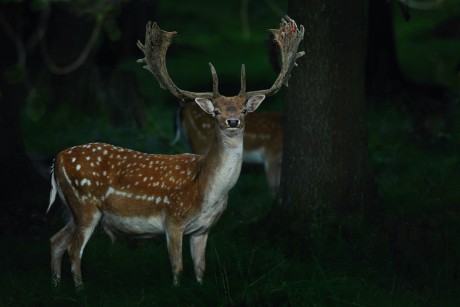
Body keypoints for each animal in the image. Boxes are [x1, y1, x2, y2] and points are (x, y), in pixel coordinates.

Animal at [47, 16, 306, 290]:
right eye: (216, 112)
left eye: (244, 110)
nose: (233, 121)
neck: (207, 190)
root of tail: (57, 159)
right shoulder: (173, 219)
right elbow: (178, 267)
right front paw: (177, 290)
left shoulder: (203, 229)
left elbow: (201, 268)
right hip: (85, 204)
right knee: (73, 249)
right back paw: (79, 289)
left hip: (72, 209)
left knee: (56, 240)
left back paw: (55, 285)